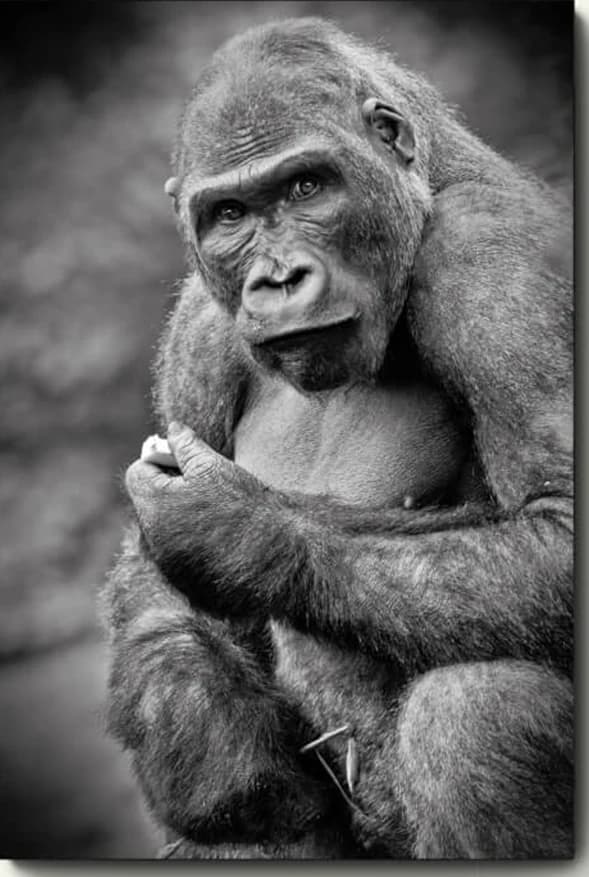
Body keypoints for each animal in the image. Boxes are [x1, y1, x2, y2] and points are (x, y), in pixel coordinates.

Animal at [101, 18, 573, 860]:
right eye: (229, 215)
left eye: (305, 188)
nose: (278, 279)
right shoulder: (197, 326)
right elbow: (151, 568)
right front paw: (210, 744)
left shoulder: (496, 263)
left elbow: (559, 521)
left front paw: (239, 532)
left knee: (479, 714)